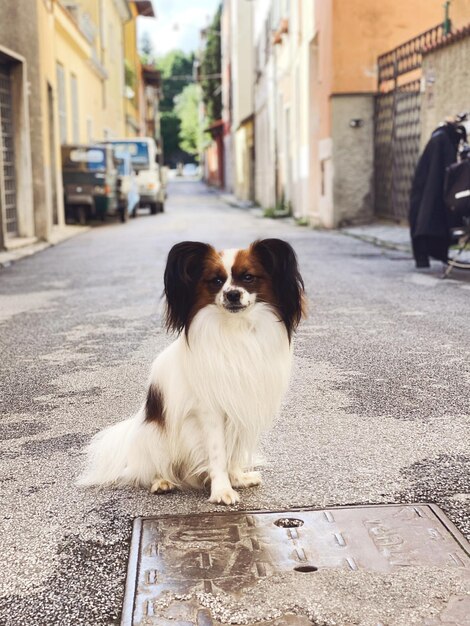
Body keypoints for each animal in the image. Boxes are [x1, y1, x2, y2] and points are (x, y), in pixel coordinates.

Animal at [77, 236, 304, 504]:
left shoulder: (239, 405)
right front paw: (222, 490)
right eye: (216, 281)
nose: (232, 294)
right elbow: (218, 453)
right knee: (149, 470)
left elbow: (233, 450)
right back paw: (162, 481)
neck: (235, 329)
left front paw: (237, 478)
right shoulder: (210, 410)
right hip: (155, 437)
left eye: (248, 277)